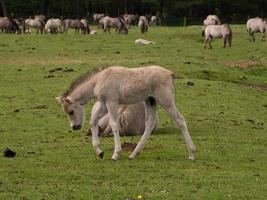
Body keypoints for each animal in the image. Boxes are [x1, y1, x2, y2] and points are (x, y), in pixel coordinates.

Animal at [56, 65, 197, 161]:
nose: (75, 127)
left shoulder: (112, 103)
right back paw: (134, 154)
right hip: (150, 101)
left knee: (180, 120)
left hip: (165, 101)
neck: (100, 79)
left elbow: (114, 125)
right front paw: (99, 152)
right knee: (150, 124)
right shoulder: (103, 104)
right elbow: (93, 122)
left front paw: (115, 154)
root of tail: (169, 73)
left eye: (71, 111)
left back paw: (191, 153)